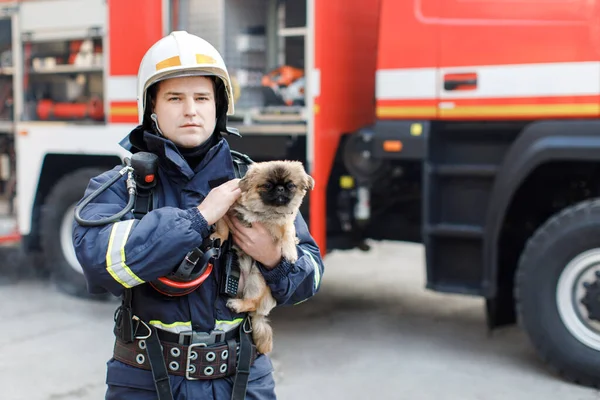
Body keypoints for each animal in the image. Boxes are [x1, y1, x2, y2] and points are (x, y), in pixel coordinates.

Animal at [211, 159, 314, 354]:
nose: (280, 188)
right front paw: (219, 236)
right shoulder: (228, 209)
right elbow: (223, 226)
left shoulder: (286, 222)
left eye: (290, 185)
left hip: (256, 278)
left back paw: (238, 304)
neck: (264, 212)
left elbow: (288, 233)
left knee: (251, 302)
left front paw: (290, 252)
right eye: (267, 185)